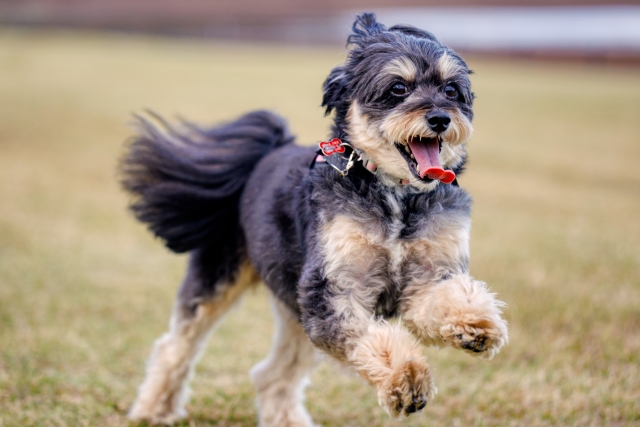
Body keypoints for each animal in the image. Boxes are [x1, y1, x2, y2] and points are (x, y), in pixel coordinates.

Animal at [121, 13, 510, 427]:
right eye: (398, 88)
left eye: (452, 90)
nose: (440, 118)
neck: (397, 198)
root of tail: (264, 155)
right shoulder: (333, 287)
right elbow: (373, 341)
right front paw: (406, 379)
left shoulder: (425, 279)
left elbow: (445, 300)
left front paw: (476, 325)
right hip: (221, 278)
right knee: (176, 347)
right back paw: (154, 409)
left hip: (293, 304)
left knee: (272, 374)